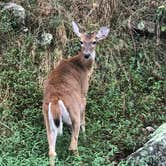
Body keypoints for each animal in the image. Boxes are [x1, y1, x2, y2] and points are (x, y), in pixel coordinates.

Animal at [42, 21, 109, 165]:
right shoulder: (84, 94)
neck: (83, 67)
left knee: (51, 151)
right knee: (73, 145)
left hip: (47, 120)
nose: (87, 55)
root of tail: (55, 99)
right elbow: (84, 120)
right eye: (81, 41)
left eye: (94, 41)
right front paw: (85, 136)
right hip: (74, 111)